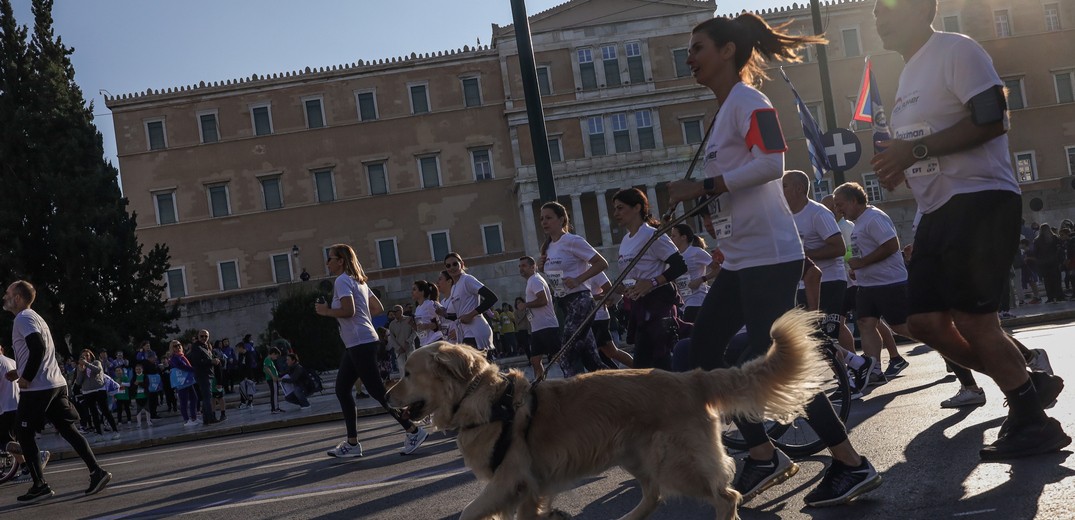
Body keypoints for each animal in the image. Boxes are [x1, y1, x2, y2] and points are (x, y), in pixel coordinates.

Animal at [387, 309, 821, 520]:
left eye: (406, 373)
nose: (389, 398)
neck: (489, 400)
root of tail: (691, 378)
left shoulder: (509, 481)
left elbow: (466, 513)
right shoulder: (526, 489)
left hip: (675, 462)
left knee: (725, 496)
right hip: (636, 455)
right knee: (653, 496)